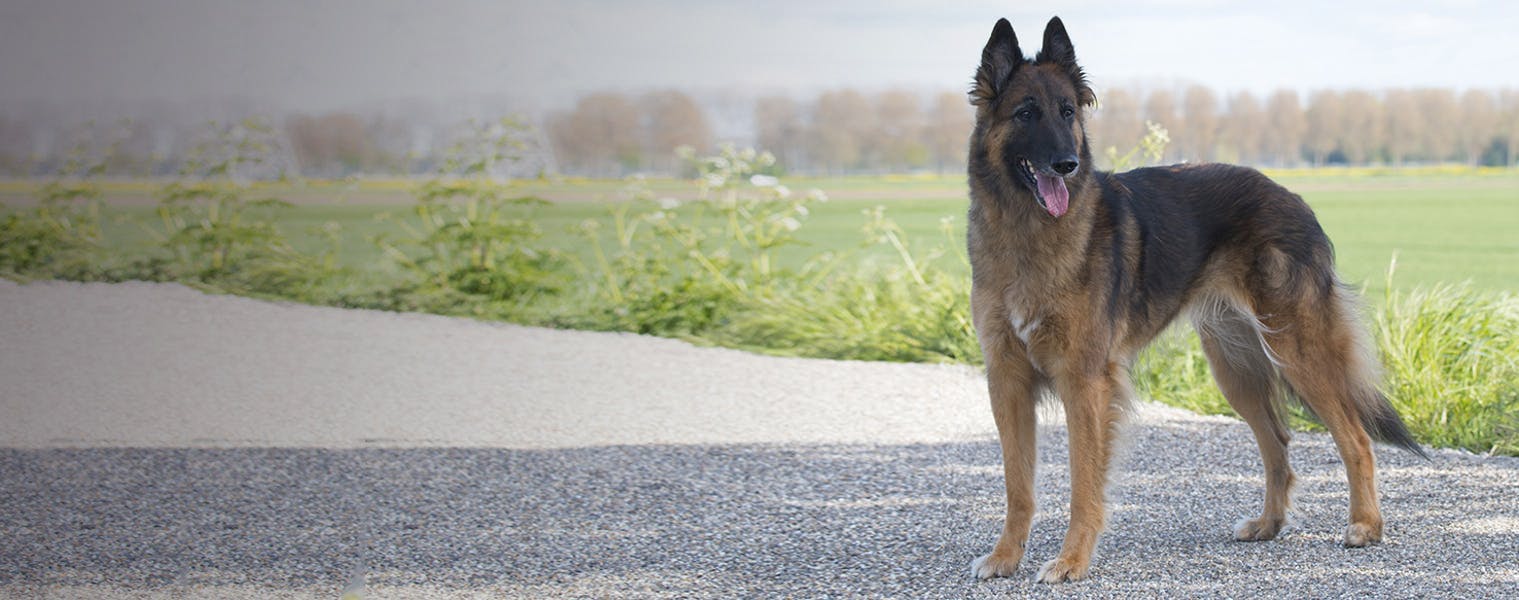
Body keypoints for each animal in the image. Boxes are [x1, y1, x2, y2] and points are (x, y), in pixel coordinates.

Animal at [966, 17, 1427, 583]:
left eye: (1068, 112)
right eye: (1027, 113)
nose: (1068, 164)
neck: (1027, 231)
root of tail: (1294, 198)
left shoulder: (1084, 381)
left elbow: (1083, 484)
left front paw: (1072, 560)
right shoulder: (1006, 379)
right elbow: (1017, 485)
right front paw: (1006, 556)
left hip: (1298, 353)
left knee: (1356, 439)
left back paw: (1365, 526)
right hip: (1236, 369)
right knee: (1278, 442)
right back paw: (1269, 524)